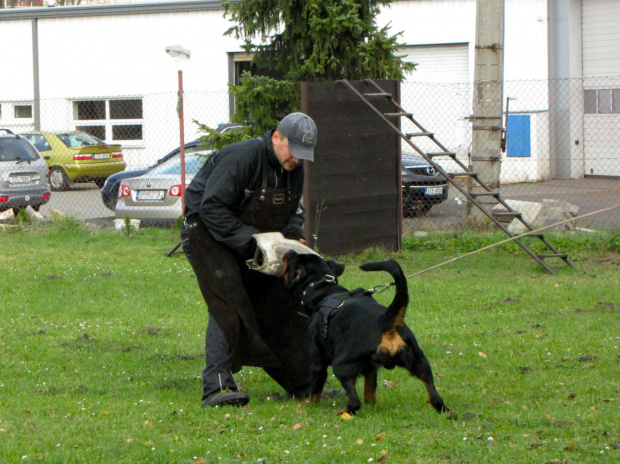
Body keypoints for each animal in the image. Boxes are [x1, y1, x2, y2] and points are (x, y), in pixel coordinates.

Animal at [282, 252, 450, 416]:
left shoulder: (318, 360)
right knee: (434, 395)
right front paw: (372, 406)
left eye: (292, 261)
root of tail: (383, 320)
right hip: (419, 361)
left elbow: (315, 390)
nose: (288, 252)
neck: (324, 290)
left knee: (354, 402)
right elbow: (370, 392)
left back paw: (343, 412)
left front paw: (308, 404)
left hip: (340, 365)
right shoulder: (371, 368)